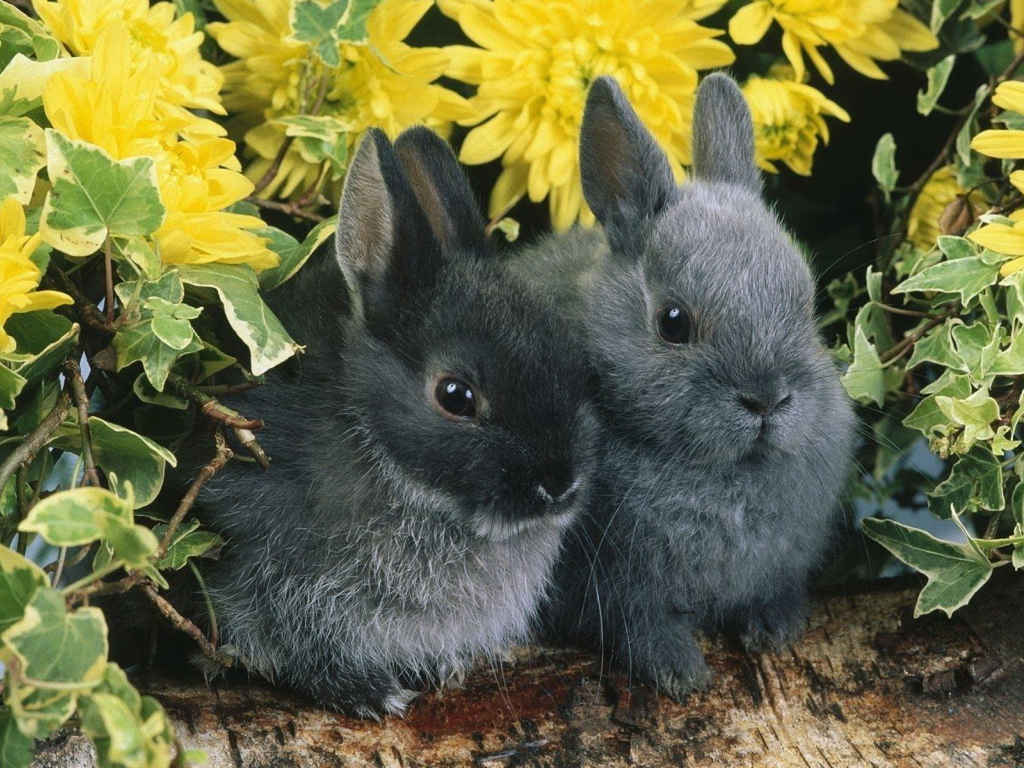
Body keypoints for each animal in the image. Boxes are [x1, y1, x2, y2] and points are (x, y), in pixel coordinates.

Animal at [195, 126, 598, 718]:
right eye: (456, 396)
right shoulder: (272, 575)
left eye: (570, 360)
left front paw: (445, 668)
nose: (559, 484)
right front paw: (371, 695)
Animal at [522, 74, 855, 699]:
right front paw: (681, 674)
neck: (723, 474)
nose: (767, 399)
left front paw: (773, 631)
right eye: (673, 322)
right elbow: (638, 626)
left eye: (805, 302)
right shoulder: (611, 589)